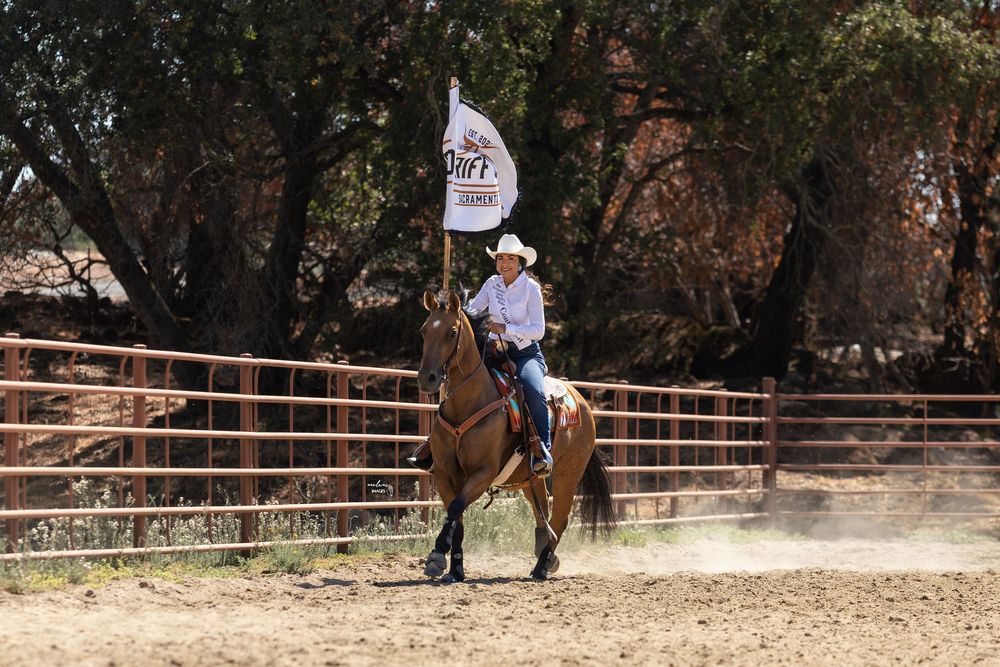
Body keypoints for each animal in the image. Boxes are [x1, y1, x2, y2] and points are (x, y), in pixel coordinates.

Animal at [416, 289, 615, 581]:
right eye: (424, 330)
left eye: (452, 332)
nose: (427, 378)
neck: (468, 404)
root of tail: (581, 401)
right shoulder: (444, 474)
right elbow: (457, 516)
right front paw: (455, 568)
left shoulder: (482, 473)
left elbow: (455, 508)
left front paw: (436, 555)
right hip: (530, 480)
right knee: (543, 514)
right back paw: (546, 557)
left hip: (568, 473)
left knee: (560, 518)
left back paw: (542, 567)